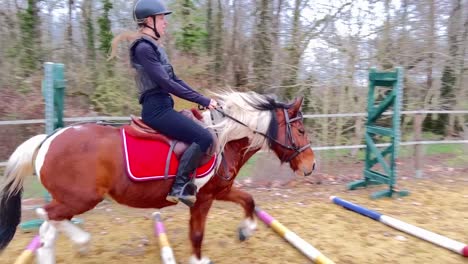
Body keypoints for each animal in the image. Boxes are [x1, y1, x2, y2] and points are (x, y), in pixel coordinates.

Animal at [0, 91, 316, 264]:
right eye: (300, 130)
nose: (311, 166)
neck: (224, 139)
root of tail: (48, 139)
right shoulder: (202, 198)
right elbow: (197, 233)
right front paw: (199, 259)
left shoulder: (221, 189)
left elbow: (249, 201)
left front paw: (246, 230)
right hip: (81, 198)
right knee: (46, 217)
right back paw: (82, 239)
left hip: (73, 199)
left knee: (48, 228)